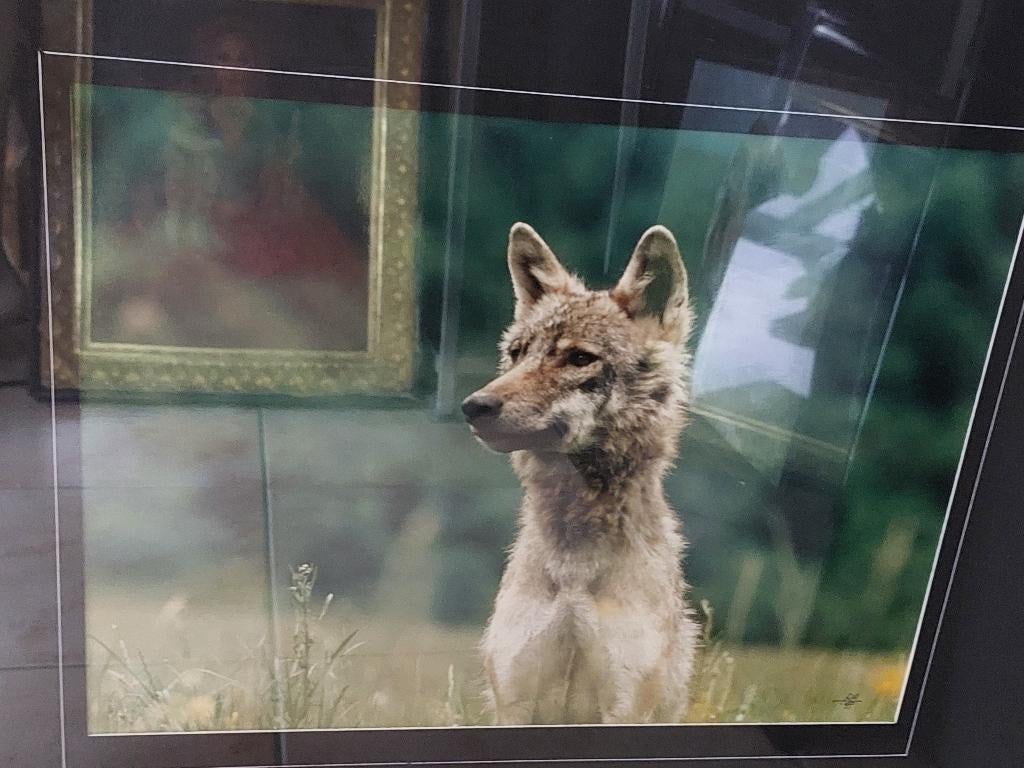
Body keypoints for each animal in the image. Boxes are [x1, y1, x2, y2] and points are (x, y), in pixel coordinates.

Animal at [461, 222, 700, 725]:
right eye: (517, 354)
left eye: (579, 358)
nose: (474, 406)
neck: (574, 569)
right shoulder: (514, 703)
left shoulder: (626, 709)